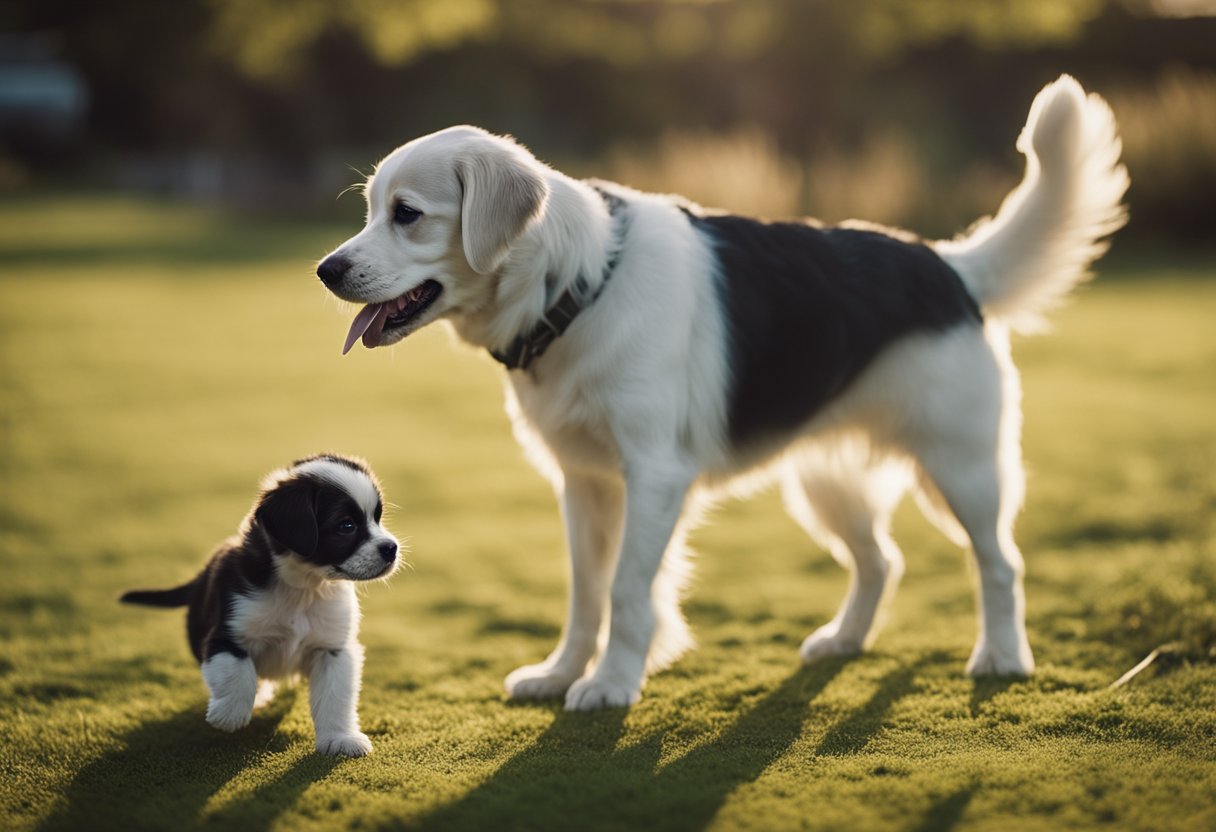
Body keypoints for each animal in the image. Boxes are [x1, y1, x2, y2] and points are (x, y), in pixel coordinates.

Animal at [118, 454, 396, 754]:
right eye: (346, 525)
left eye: (377, 517)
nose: (391, 549)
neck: (302, 588)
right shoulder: (226, 632)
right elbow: (238, 670)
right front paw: (230, 713)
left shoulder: (333, 648)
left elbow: (336, 697)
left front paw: (340, 738)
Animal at [316, 76, 1128, 710]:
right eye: (371, 209)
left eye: (408, 214)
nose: (327, 270)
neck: (578, 288)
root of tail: (950, 266)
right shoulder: (583, 481)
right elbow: (586, 591)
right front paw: (562, 672)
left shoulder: (654, 477)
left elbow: (627, 592)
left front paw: (611, 683)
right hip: (824, 481)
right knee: (881, 561)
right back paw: (846, 639)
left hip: (962, 469)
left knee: (1000, 563)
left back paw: (1003, 656)